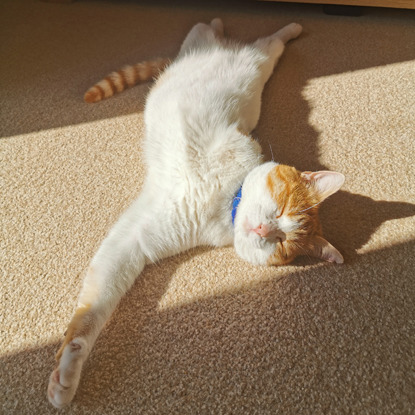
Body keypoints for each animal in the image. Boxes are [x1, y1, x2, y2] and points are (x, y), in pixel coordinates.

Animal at [47, 19, 346, 410]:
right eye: (281, 210)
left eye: (282, 245)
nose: (264, 229)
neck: (224, 205)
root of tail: (217, 45)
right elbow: (92, 311)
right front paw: (70, 366)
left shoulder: (138, 239)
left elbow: (93, 310)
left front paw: (68, 372)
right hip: (254, 57)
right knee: (257, 39)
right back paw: (279, 27)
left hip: (241, 54)